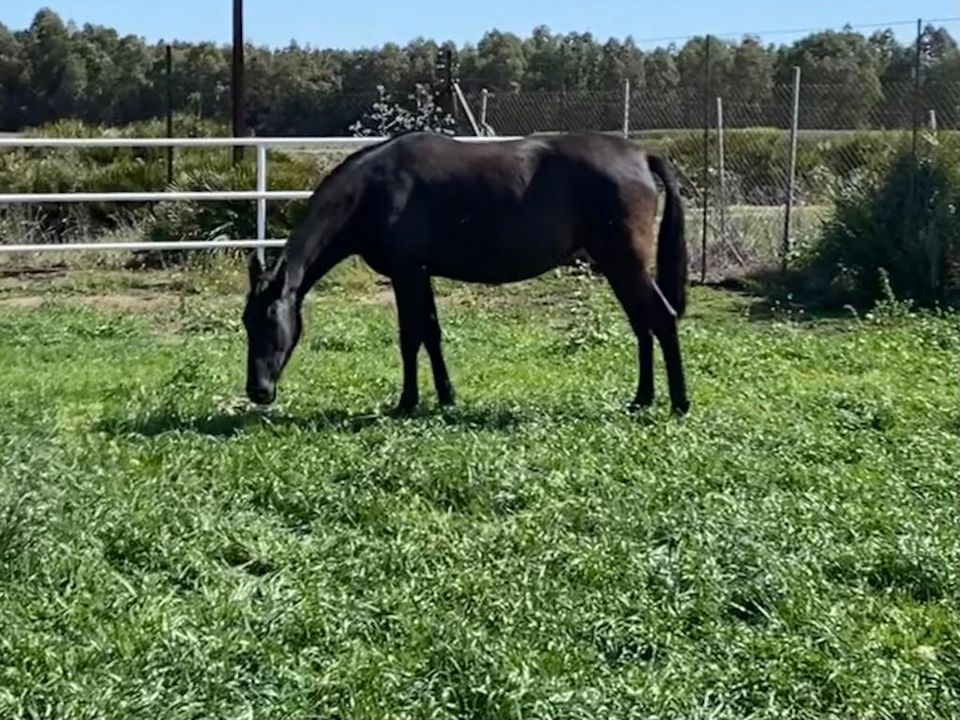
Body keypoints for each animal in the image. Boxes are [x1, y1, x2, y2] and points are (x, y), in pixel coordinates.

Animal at [240, 131, 688, 416]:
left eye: (269, 321)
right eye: (246, 321)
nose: (257, 391)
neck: (374, 190)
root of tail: (640, 156)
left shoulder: (406, 274)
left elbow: (410, 337)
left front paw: (407, 402)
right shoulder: (421, 275)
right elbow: (432, 335)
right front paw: (445, 397)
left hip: (624, 262)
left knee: (661, 320)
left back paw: (679, 404)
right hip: (617, 266)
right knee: (643, 326)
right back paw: (642, 399)